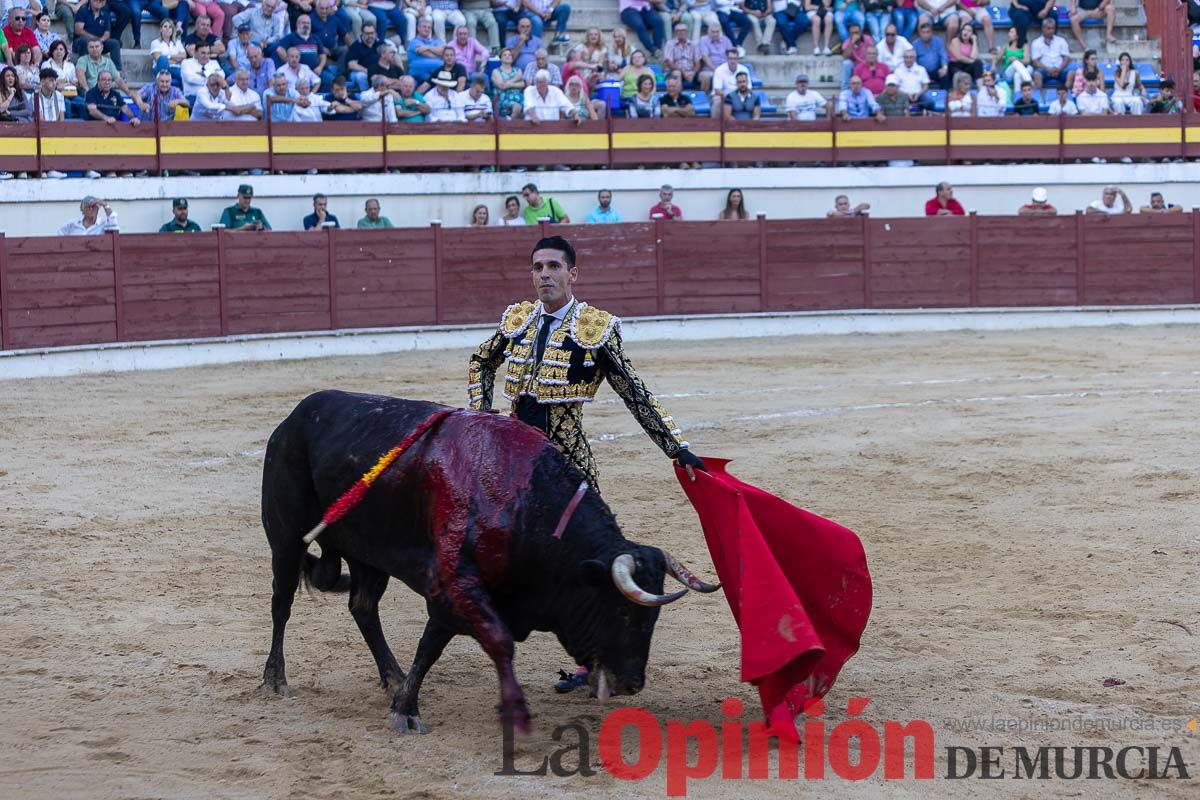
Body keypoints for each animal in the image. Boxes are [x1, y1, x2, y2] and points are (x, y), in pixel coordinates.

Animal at [258, 391, 715, 734]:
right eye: (621, 612)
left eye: (652, 618)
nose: (632, 683)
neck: (524, 505)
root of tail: (292, 419)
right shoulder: (454, 587)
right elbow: (490, 642)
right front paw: (423, 711)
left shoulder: (458, 597)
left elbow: (437, 644)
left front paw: (405, 698)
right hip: (285, 539)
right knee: (281, 604)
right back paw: (275, 680)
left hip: (369, 554)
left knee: (363, 607)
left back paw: (391, 676)